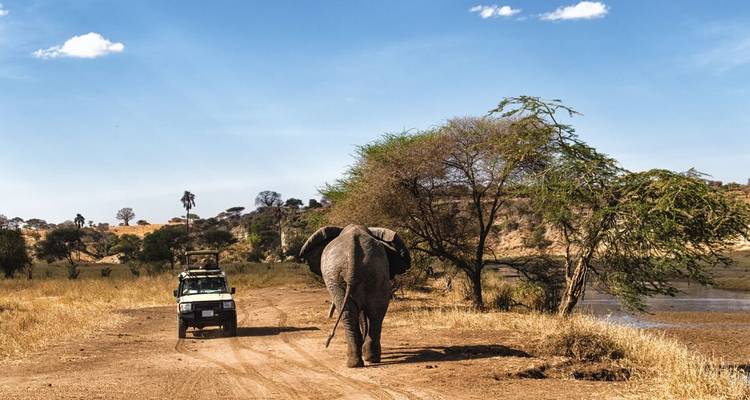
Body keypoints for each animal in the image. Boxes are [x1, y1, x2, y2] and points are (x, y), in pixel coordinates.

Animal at [299, 224, 411, 368]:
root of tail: (353, 253)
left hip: (345, 276)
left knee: (360, 313)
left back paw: (359, 361)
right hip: (365, 274)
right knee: (370, 313)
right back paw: (365, 360)